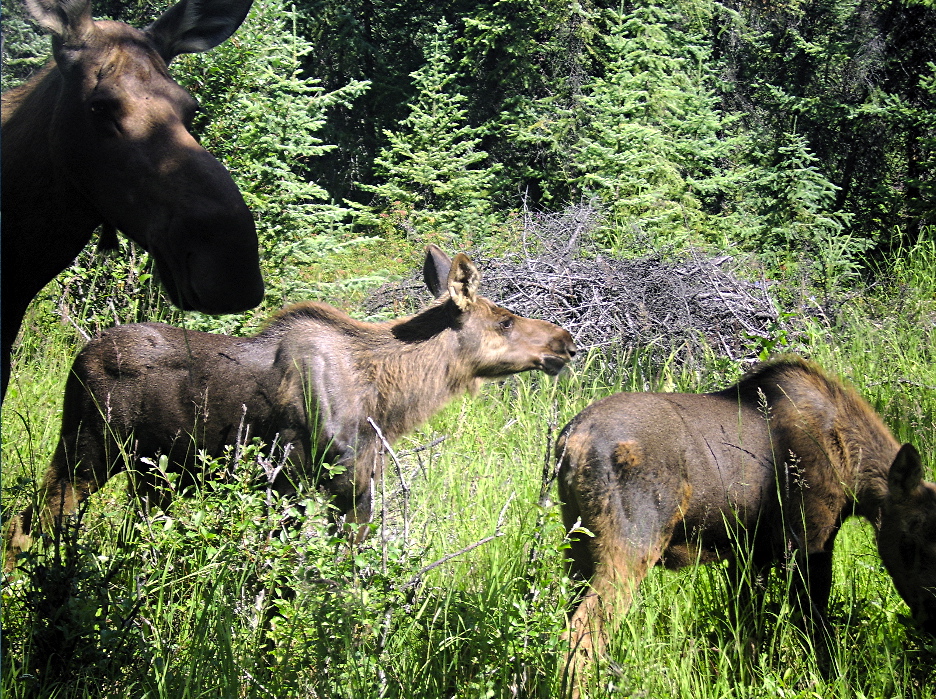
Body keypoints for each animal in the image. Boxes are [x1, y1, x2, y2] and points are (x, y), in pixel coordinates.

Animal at [3, 249, 576, 572]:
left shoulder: (353, 486)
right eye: (504, 320)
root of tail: (78, 359)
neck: (387, 398)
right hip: (86, 450)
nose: (565, 341)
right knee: (30, 520)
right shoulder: (298, 482)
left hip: (150, 474)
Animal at [560, 358, 932, 676]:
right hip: (633, 542)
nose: (931, 612)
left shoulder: (751, 551)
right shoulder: (807, 540)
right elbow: (814, 627)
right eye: (910, 539)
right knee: (582, 634)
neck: (850, 468)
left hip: (578, 546)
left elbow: (746, 633)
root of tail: (573, 440)